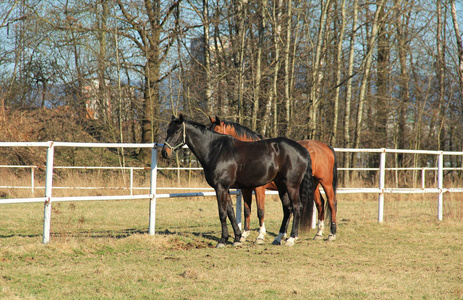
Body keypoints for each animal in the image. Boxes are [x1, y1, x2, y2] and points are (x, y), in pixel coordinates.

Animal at [160, 114, 316, 246]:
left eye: (177, 131)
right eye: (167, 131)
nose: (164, 153)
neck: (215, 150)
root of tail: (303, 149)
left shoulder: (221, 188)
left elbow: (223, 213)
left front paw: (222, 240)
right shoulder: (227, 188)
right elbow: (231, 212)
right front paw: (237, 238)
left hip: (292, 185)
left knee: (296, 207)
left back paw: (291, 239)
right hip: (282, 186)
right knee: (287, 209)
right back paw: (278, 238)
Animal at [208, 116, 338, 243]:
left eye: (217, 131)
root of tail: (326, 147)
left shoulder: (259, 188)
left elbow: (260, 211)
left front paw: (260, 236)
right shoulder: (246, 189)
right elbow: (247, 210)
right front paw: (244, 235)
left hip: (325, 182)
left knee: (332, 203)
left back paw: (331, 233)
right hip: (313, 185)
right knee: (320, 204)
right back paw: (318, 233)